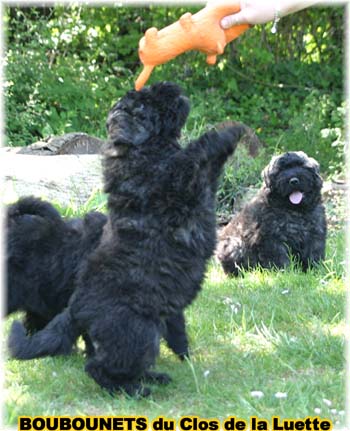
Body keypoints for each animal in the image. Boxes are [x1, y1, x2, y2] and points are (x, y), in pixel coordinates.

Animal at [8, 82, 246, 396]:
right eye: (144, 104)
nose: (170, 86)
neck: (141, 151)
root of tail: (74, 310)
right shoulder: (176, 178)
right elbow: (196, 152)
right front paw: (227, 131)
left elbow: (209, 164)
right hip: (138, 334)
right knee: (100, 368)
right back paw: (138, 389)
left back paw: (152, 378)